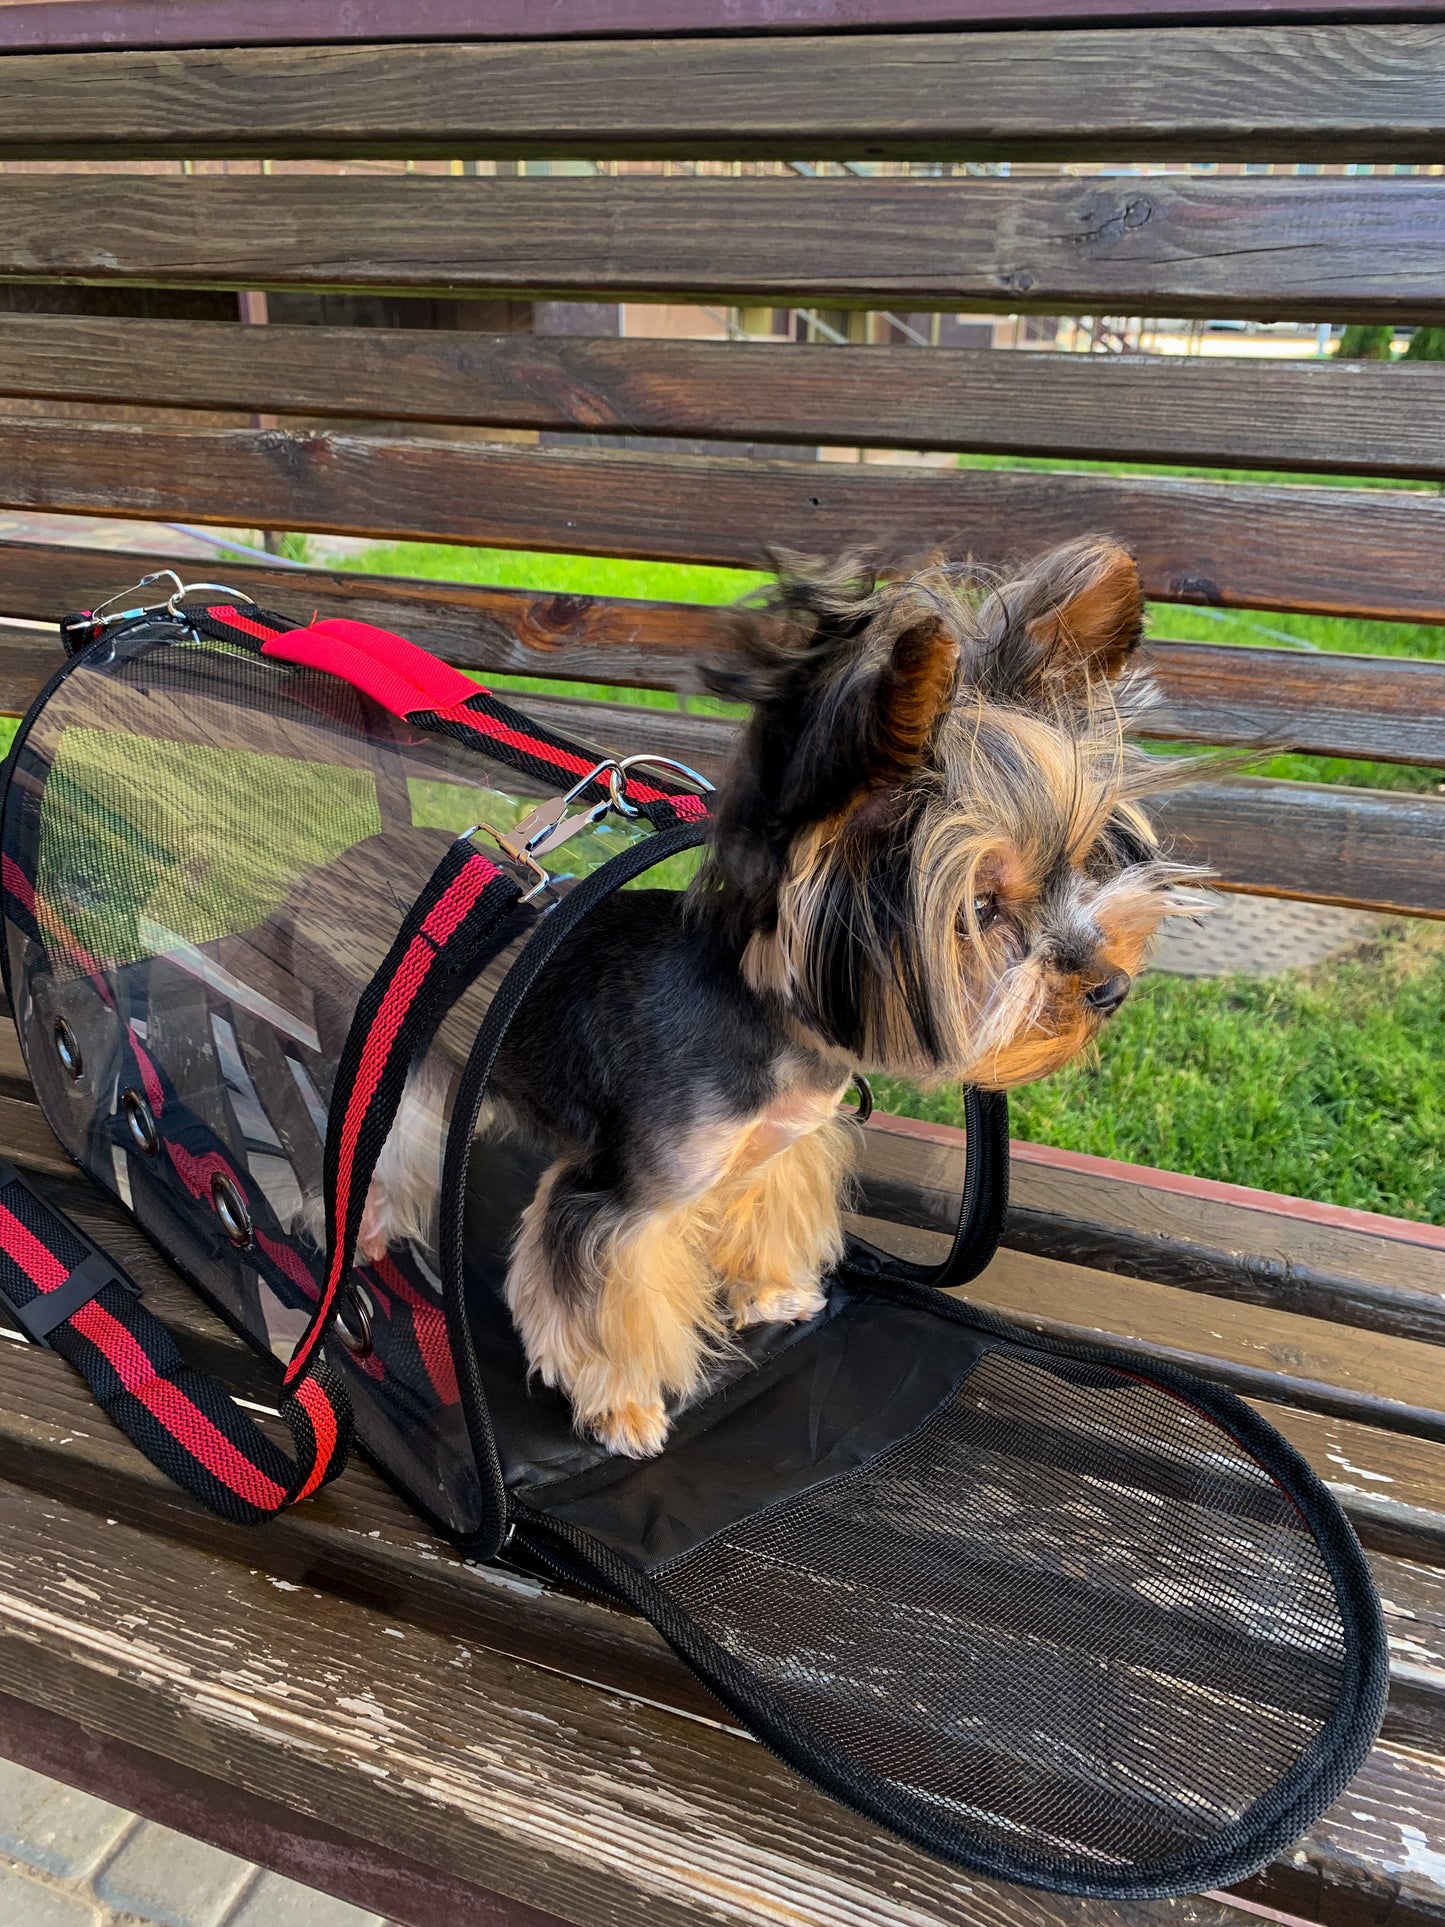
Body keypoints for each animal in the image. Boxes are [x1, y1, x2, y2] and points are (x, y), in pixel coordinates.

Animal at [364, 535, 1209, 1449]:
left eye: (1082, 860)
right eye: (979, 908)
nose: (1110, 986)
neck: (776, 1029)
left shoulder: (782, 1146)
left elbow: (771, 1213)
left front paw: (773, 1293)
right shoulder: (622, 1197)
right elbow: (597, 1296)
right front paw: (622, 1404)